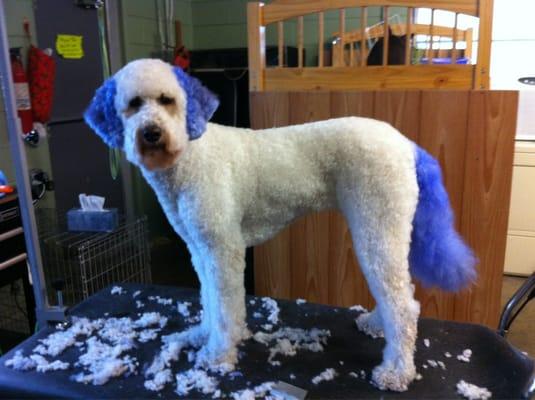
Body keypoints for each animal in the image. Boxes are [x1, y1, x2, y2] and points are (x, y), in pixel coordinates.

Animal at [85, 58, 478, 390]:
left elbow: (225, 308)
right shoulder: (200, 250)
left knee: (404, 305)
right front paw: (202, 334)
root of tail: (408, 145)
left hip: (377, 229)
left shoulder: (223, 248)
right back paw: (376, 325)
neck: (191, 156)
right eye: (133, 104)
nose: (151, 132)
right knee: (399, 293)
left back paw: (396, 371)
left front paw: (219, 354)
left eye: (167, 100)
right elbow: (209, 299)